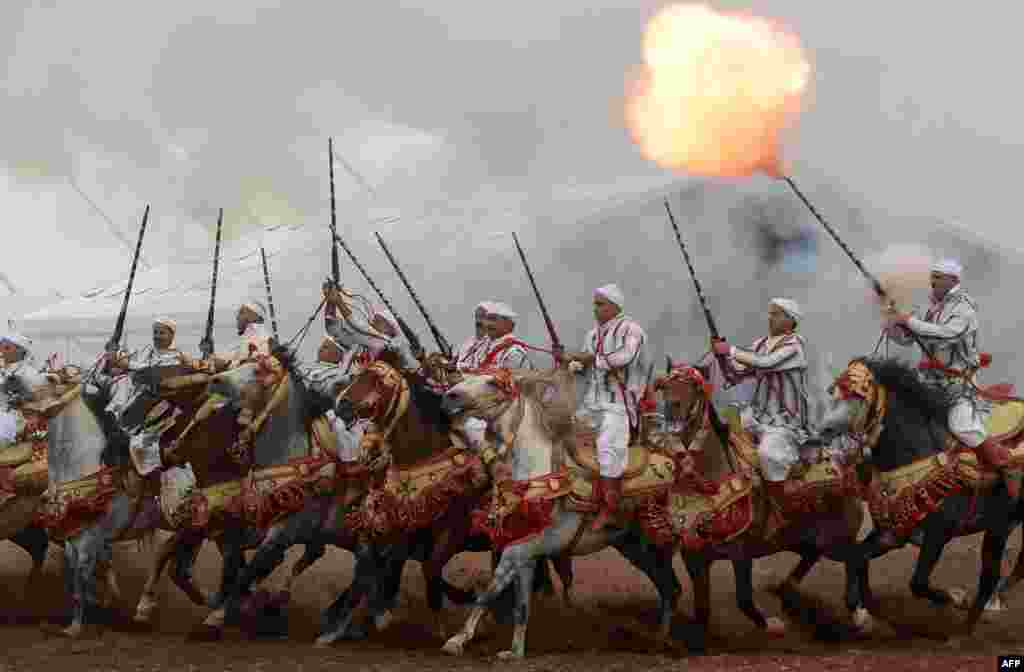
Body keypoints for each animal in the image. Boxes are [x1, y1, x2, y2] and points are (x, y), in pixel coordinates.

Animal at [436, 364, 684, 659]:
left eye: (492, 382)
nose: (450, 396)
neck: (535, 476)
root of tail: (670, 462)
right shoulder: (525, 554)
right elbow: (520, 606)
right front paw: (514, 652)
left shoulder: (518, 551)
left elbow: (489, 592)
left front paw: (457, 641)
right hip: (634, 548)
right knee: (668, 588)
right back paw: (660, 639)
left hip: (654, 544)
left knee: (671, 588)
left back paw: (662, 641)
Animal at [819, 354, 1024, 639]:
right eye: (834, 394)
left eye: (855, 396)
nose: (823, 430)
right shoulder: (893, 533)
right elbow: (856, 556)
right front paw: (862, 614)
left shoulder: (938, 533)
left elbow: (917, 582)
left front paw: (956, 598)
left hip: (998, 527)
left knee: (989, 576)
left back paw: (968, 627)